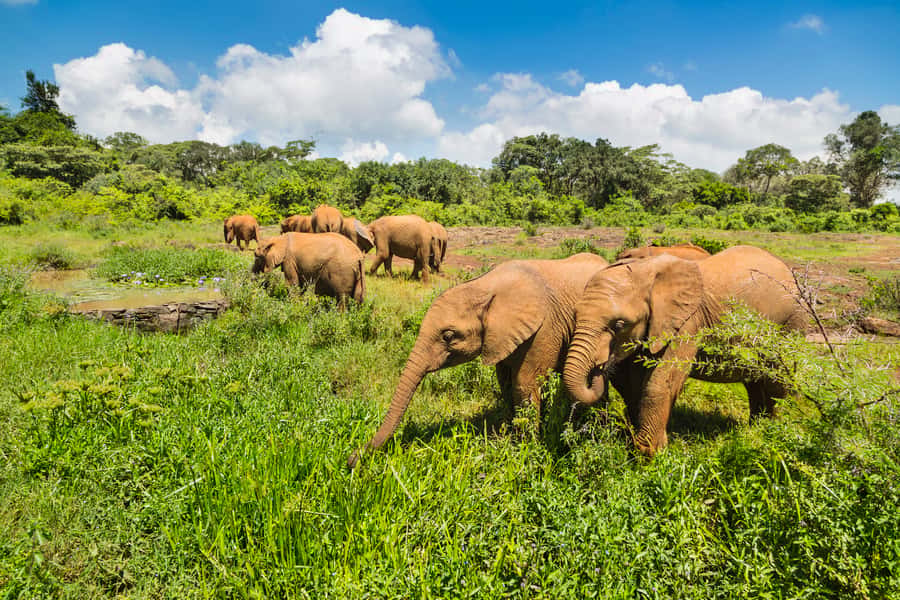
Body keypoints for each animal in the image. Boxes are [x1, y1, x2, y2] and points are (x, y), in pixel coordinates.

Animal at [348, 253, 610, 468]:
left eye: (448, 336)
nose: (352, 459)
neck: (483, 287)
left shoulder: (545, 329)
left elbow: (524, 384)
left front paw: (524, 452)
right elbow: (505, 383)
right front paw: (507, 438)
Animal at [562, 245, 807, 457]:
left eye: (619, 324)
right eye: (574, 315)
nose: (599, 366)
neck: (647, 271)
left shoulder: (688, 322)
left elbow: (662, 380)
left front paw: (648, 453)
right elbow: (632, 384)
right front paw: (644, 444)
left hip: (789, 324)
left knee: (776, 382)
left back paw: (773, 432)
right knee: (755, 380)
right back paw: (754, 429)